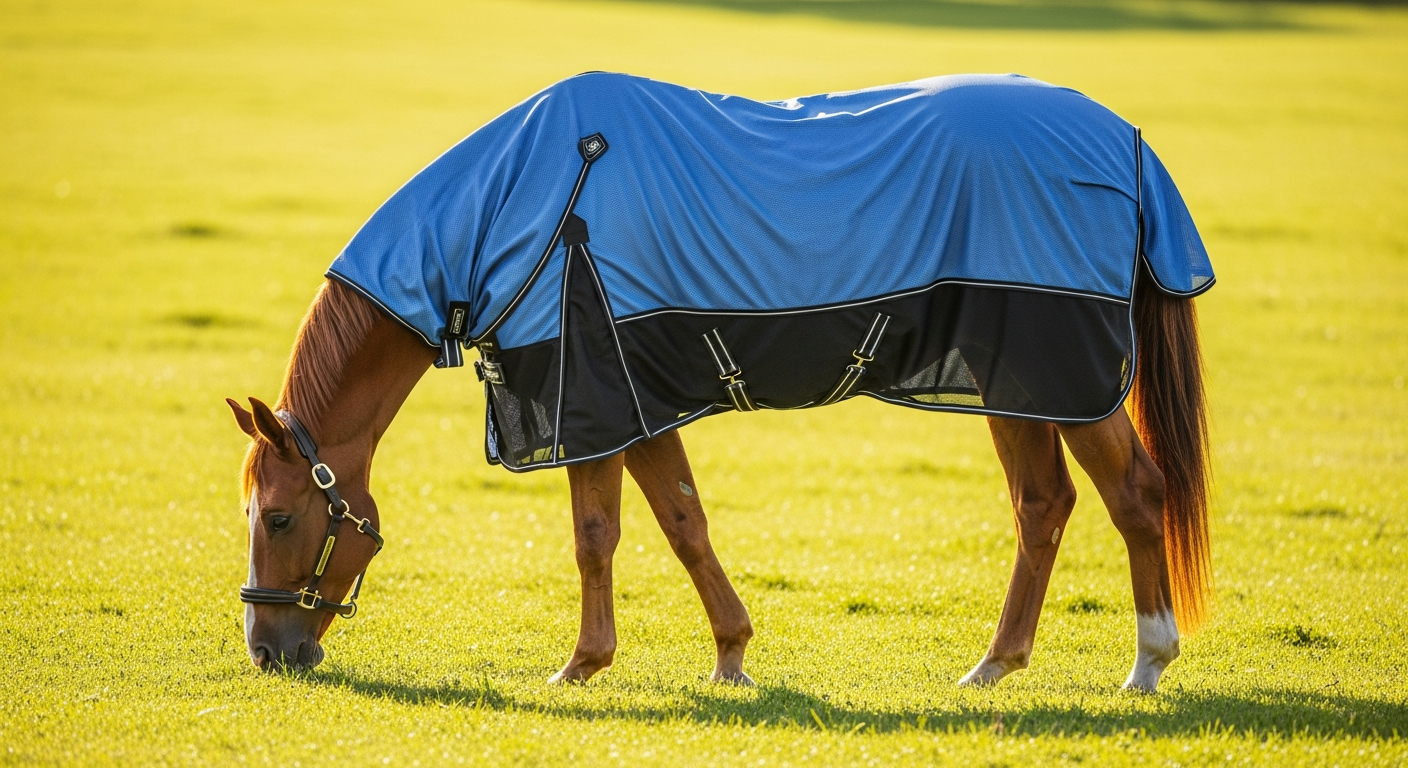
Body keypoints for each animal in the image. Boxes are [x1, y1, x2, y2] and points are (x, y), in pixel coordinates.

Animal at [228, 72, 1212, 692]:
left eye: (276, 517)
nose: (267, 651)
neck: (528, 200)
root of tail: (1121, 141)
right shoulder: (634, 406)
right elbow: (682, 523)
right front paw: (732, 655)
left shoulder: (591, 400)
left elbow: (597, 535)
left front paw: (582, 665)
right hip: (1014, 385)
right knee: (1043, 508)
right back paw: (994, 666)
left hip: (1068, 374)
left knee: (1135, 492)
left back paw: (1147, 664)